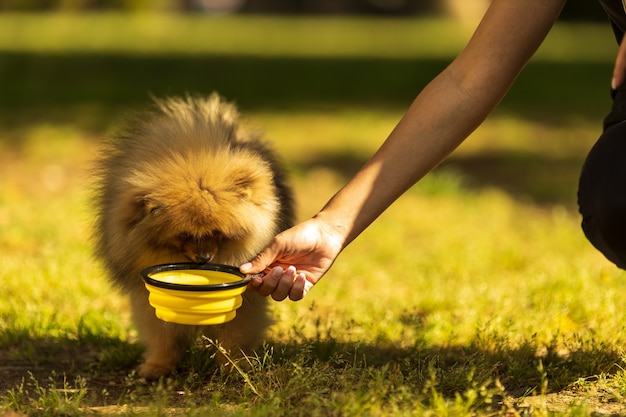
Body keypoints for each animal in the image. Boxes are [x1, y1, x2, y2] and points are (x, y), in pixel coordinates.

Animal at [92, 92, 292, 378]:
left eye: (217, 233)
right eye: (185, 234)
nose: (204, 258)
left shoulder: (246, 301)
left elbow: (234, 335)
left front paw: (234, 366)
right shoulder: (146, 297)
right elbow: (163, 335)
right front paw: (158, 366)